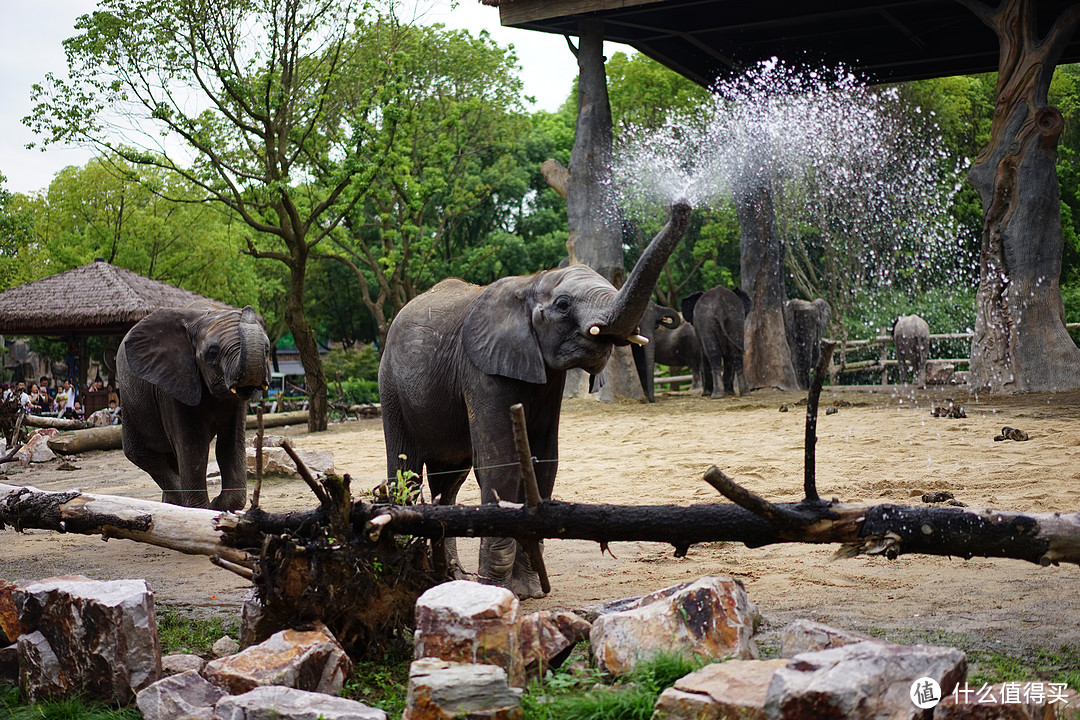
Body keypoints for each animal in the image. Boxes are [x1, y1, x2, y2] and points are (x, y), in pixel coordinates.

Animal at [115, 302, 270, 511]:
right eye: (212, 353)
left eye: (267, 350)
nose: (247, 309)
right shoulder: (173, 384)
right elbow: (193, 449)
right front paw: (205, 509)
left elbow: (230, 445)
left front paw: (217, 506)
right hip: (129, 401)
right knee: (141, 454)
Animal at [380, 201, 695, 595]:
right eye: (562, 305)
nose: (681, 206)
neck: (530, 281)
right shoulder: (480, 369)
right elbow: (501, 466)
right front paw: (499, 589)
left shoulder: (548, 381)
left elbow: (544, 463)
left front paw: (527, 589)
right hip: (391, 385)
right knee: (406, 471)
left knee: (447, 483)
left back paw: (449, 576)